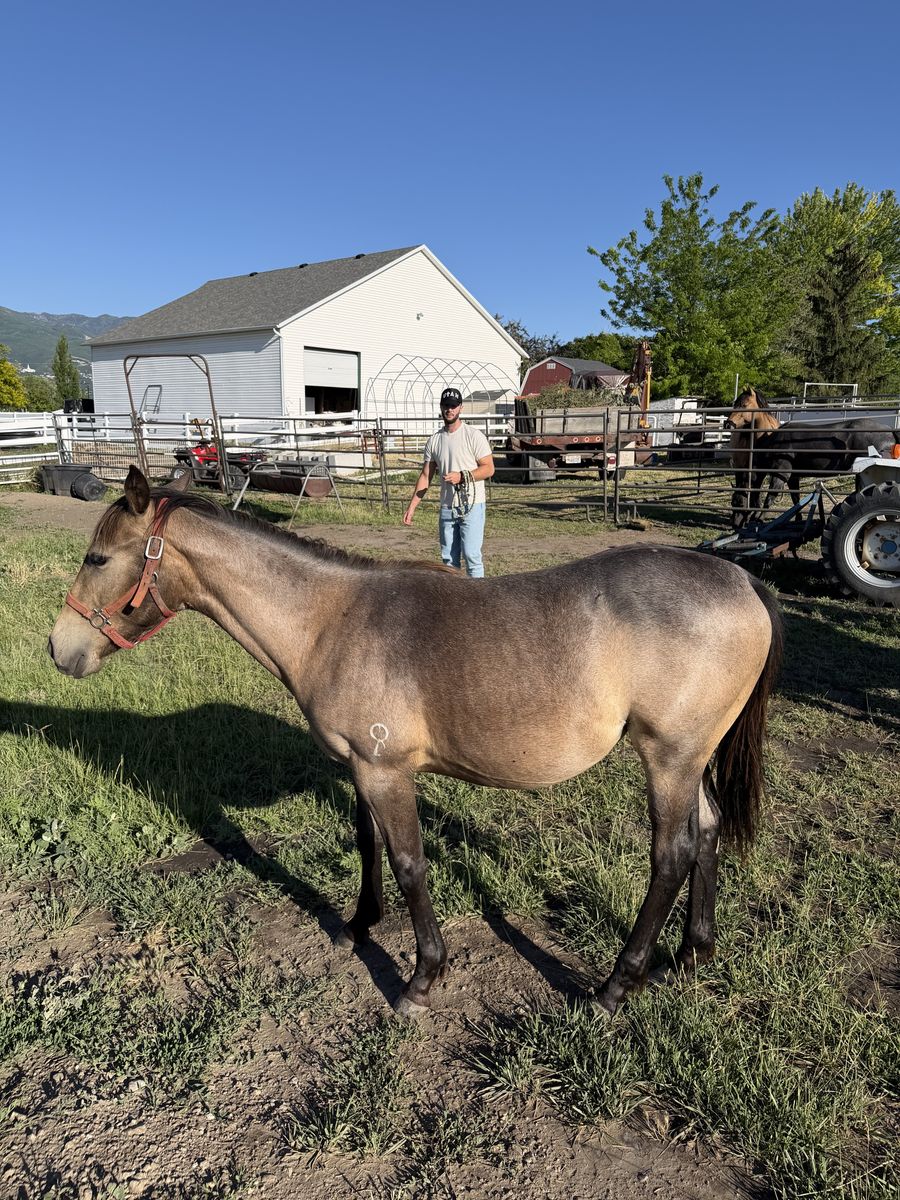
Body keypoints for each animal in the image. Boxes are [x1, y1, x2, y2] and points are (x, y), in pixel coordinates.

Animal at [48, 467, 783, 1019]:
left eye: (97, 557)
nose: (59, 649)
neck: (329, 620)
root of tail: (745, 581)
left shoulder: (385, 772)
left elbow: (409, 864)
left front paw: (422, 977)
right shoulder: (359, 767)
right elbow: (367, 842)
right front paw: (358, 924)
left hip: (668, 758)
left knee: (672, 854)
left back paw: (617, 984)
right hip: (693, 758)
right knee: (709, 831)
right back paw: (692, 954)